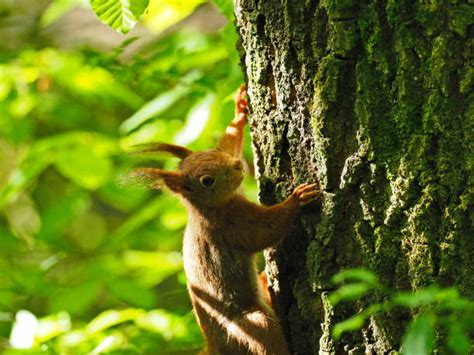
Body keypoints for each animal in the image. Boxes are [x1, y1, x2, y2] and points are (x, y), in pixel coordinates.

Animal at [131, 85, 320, 354]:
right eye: (207, 180)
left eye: (213, 152)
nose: (238, 166)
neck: (207, 208)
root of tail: (214, 345)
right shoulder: (230, 225)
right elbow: (265, 231)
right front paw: (297, 199)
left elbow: (231, 143)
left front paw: (240, 109)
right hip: (248, 325)